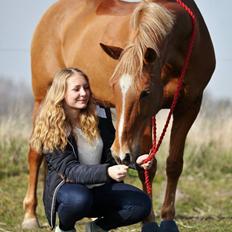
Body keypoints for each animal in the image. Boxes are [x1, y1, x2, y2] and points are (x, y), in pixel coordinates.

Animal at [22, 0, 216, 230]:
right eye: (114, 85)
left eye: (145, 92)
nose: (120, 153)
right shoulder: (145, 121)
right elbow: (147, 169)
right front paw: (149, 221)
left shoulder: (189, 106)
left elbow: (173, 164)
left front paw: (168, 220)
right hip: (43, 98)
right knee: (35, 153)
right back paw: (29, 216)